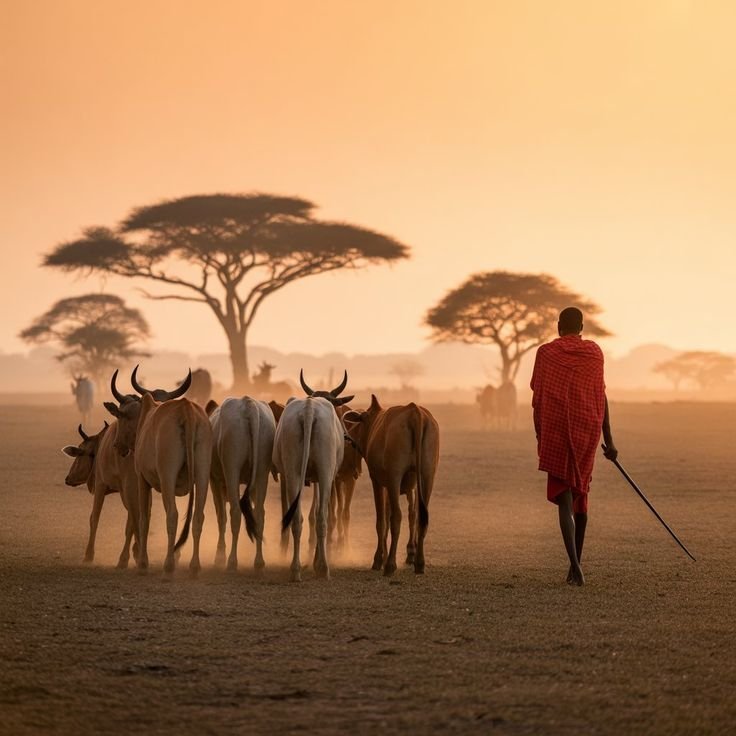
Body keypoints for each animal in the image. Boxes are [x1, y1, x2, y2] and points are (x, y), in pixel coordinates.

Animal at [104, 367, 211, 574]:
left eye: (120, 416)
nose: (117, 445)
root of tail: (186, 410)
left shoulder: (142, 480)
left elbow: (144, 518)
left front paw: (142, 562)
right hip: (202, 476)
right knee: (198, 516)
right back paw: (194, 565)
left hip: (167, 477)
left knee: (173, 515)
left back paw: (168, 564)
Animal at [206, 397, 276, 571]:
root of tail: (248, 405)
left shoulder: (214, 480)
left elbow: (221, 516)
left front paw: (220, 555)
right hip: (262, 470)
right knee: (259, 514)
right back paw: (259, 561)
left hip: (232, 469)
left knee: (235, 513)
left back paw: (232, 560)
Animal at [273, 371, 353, 581]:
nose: (346, 435)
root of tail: (309, 410)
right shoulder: (327, 477)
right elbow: (319, 512)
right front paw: (317, 561)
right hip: (326, 472)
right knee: (322, 518)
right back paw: (323, 568)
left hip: (293, 472)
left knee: (297, 518)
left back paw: (295, 569)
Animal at [344, 395, 440, 576]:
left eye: (360, 423)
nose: (350, 439)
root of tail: (414, 412)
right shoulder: (391, 485)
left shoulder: (378, 480)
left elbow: (382, 520)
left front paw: (378, 559)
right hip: (427, 474)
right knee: (421, 516)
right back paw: (419, 563)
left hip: (395, 475)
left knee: (397, 517)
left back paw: (390, 564)